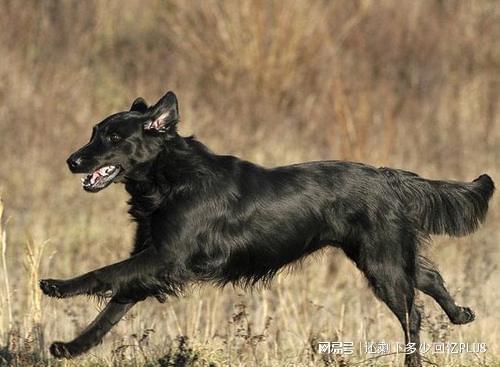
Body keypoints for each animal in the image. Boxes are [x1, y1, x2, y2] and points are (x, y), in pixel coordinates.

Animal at [39, 90, 492, 366]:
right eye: (94, 133)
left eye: (114, 138)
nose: (71, 161)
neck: (170, 179)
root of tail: (390, 176)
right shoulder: (151, 260)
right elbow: (110, 310)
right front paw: (71, 347)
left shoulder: (165, 257)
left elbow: (104, 274)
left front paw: (57, 286)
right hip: (383, 254)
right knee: (429, 277)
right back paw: (462, 314)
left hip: (382, 263)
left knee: (412, 310)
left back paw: (415, 357)